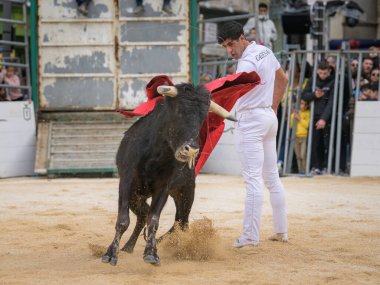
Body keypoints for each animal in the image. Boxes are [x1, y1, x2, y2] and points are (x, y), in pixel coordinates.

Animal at [101, 82, 232, 264]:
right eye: (179, 111)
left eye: (202, 118)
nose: (192, 150)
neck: (156, 152)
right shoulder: (126, 181)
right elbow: (123, 220)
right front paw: (111, 254)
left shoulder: (163, 187)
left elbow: (154, 219)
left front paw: (151, 253)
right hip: (136, 195)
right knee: (144, 215)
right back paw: (127, 247)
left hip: (186, 193)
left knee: (180, 223)